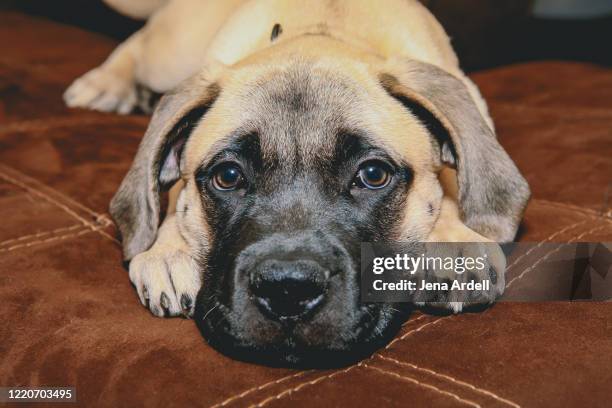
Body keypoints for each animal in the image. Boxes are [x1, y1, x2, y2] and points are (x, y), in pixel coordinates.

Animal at [64, 0, 528, 364]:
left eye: (373, 175)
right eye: (228, 176)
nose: (288, 292)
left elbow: (452, 177)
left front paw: (453, 239)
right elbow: (176, 191)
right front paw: (169, 247)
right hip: (172, 52)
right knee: (139, 42)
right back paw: (106, 82)